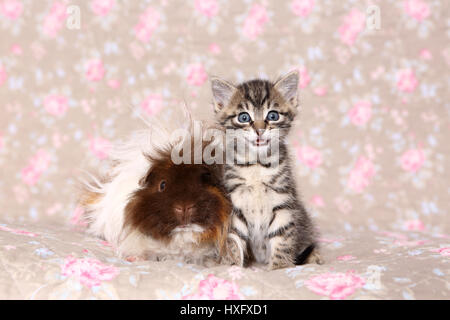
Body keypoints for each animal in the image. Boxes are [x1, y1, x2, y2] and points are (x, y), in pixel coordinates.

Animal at [211, 71, 324, 268]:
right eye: (244, 117)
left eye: (272, 116)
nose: (259, 130)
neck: (257, 166)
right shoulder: (233, 203)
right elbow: (233, 238)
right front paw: (232, 264)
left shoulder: (283, 201)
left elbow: (282, 236)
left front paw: (281, 267)